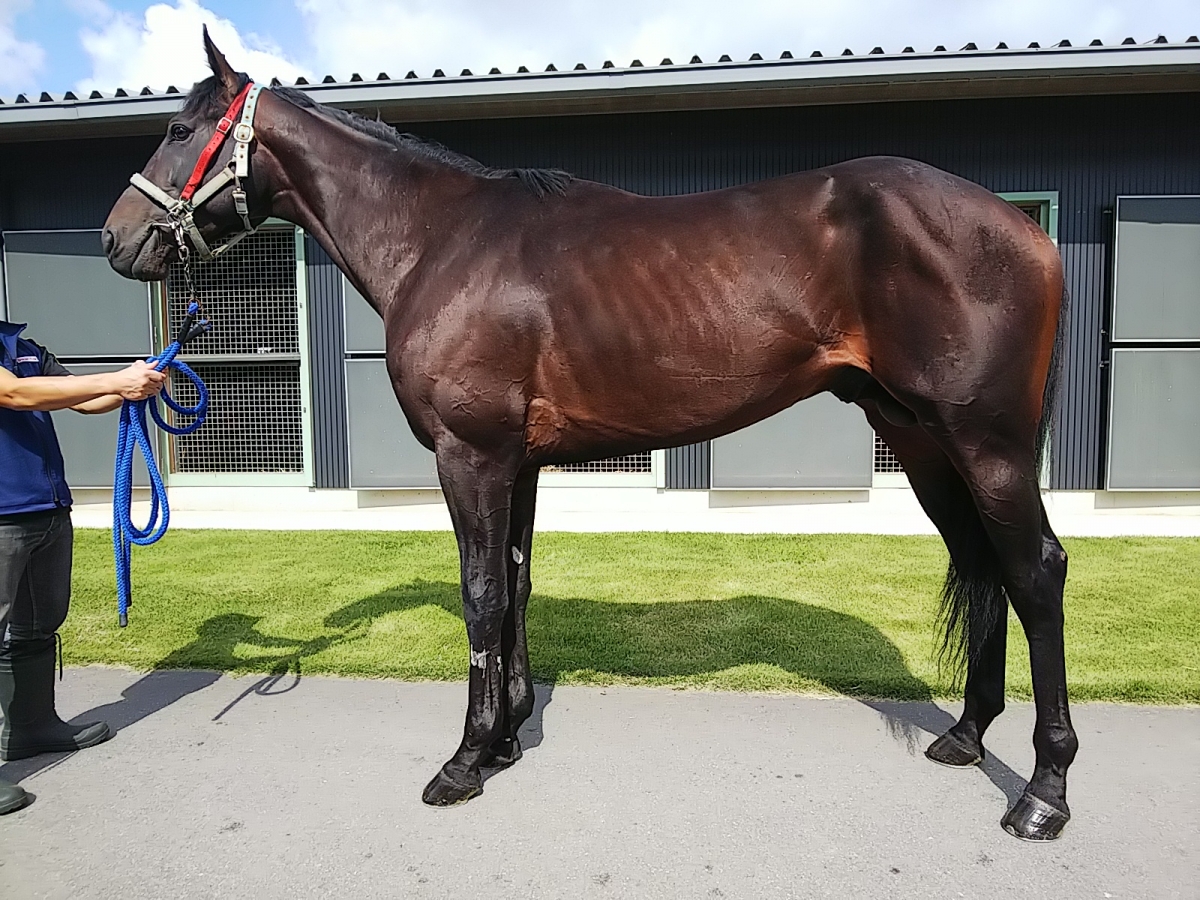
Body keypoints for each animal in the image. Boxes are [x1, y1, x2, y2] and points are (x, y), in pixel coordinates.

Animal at [103, 30, 1076, 841]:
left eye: (181, 128)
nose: (118, 240)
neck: (442, 242)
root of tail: (1020, 227)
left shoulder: (470, 456)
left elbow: (482, 595)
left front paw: (463, 762)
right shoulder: (518, 463)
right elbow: (517, 587)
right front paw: (505, 737)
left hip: (985, 442)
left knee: (1034, 571)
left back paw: (1043, 794)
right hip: (918, 440)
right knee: (982, 564)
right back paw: (966, 735)